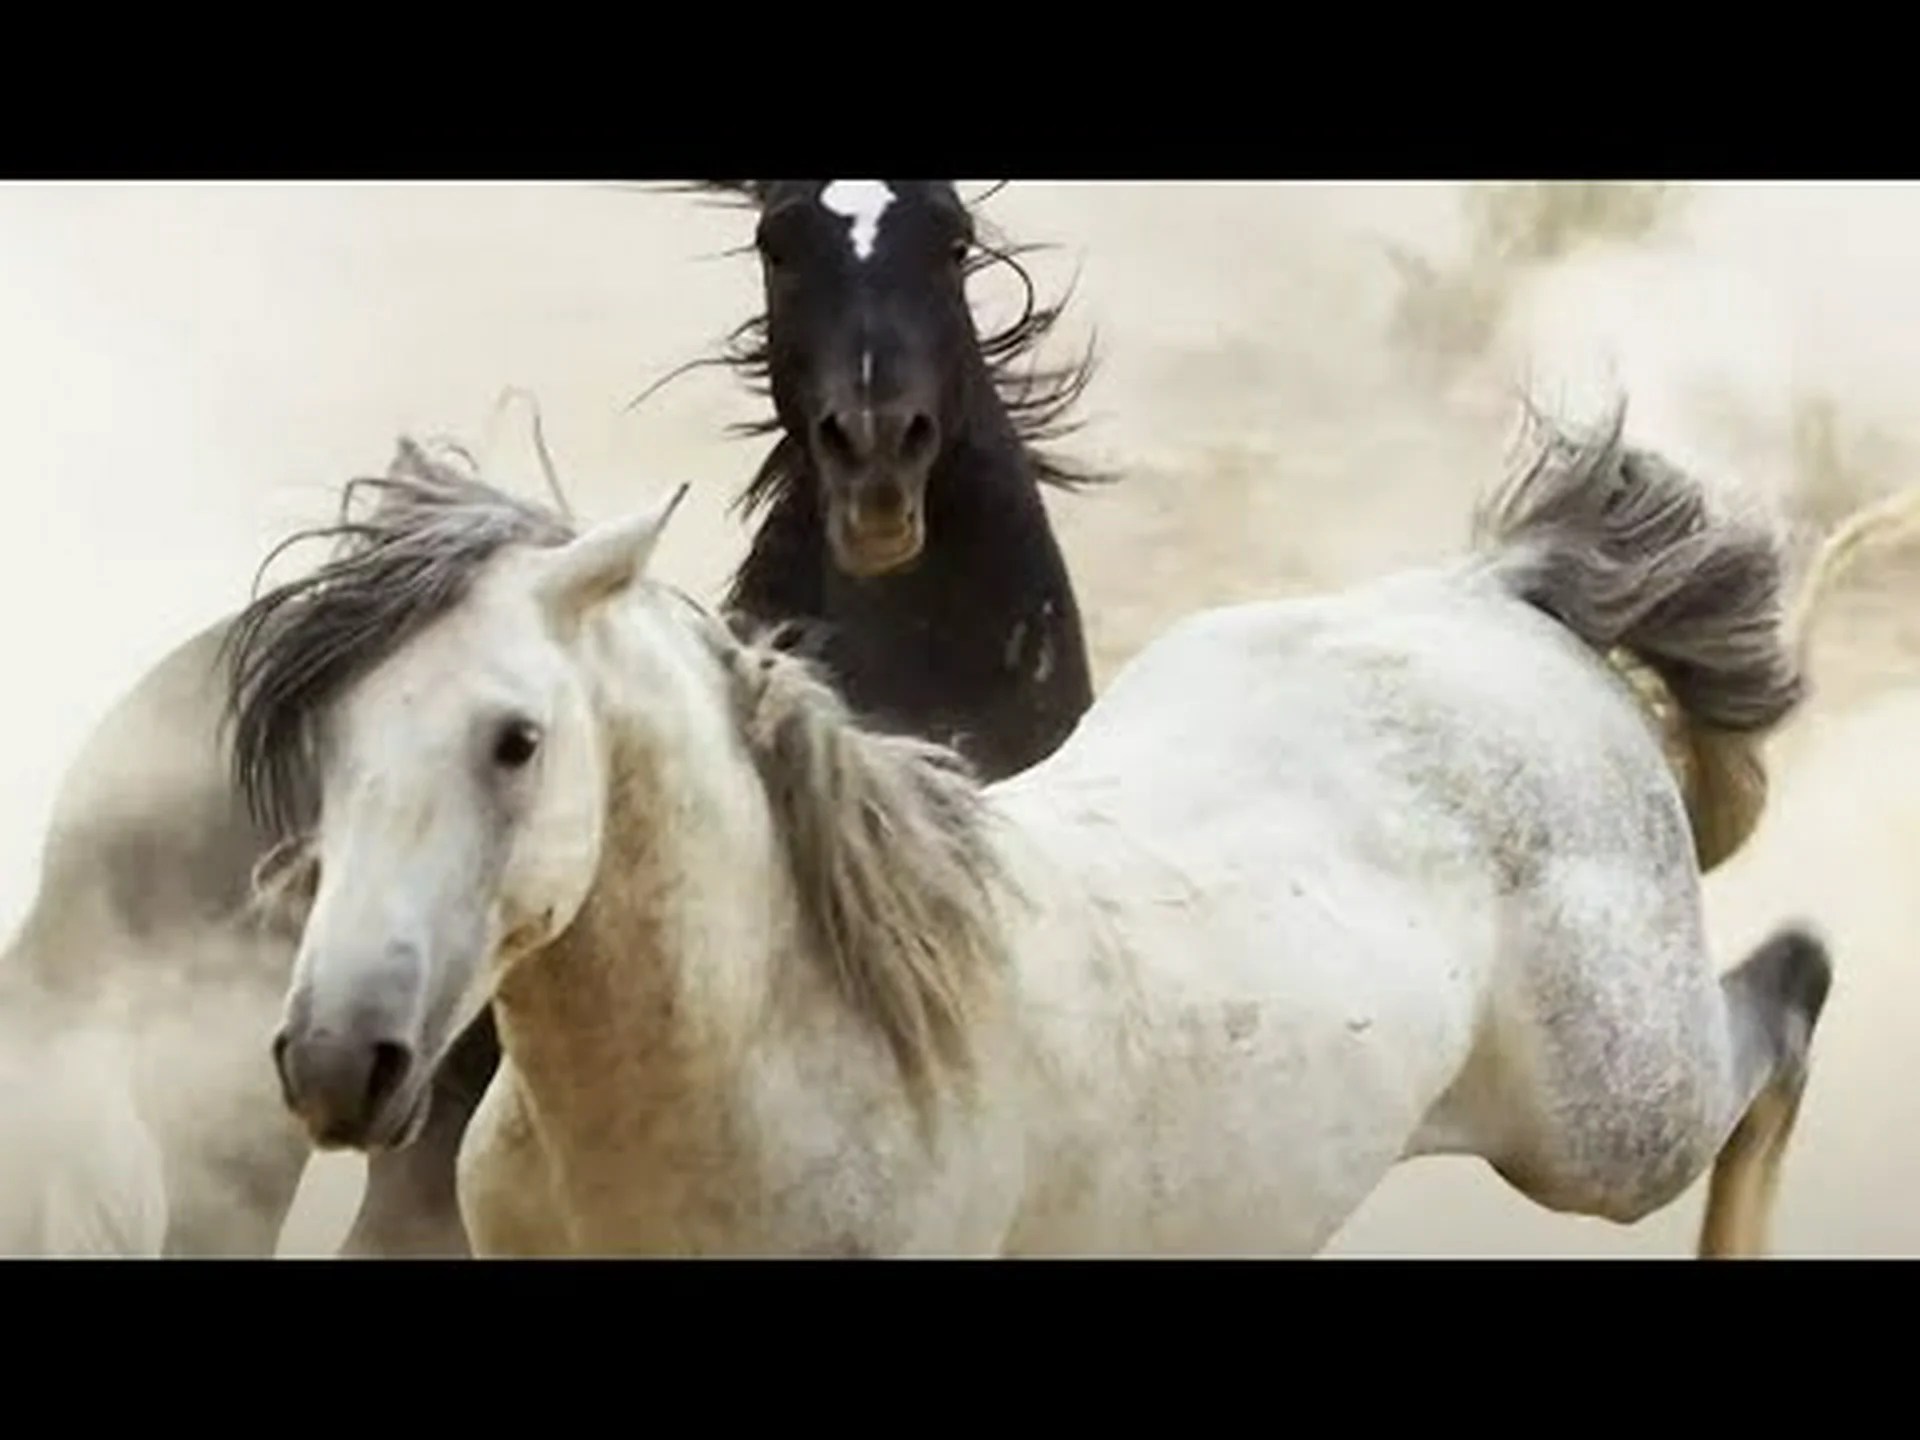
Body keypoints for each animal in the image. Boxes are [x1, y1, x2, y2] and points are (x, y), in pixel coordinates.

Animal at [248, 397, 1835, 1257]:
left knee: (1794, 991)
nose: (336, 1062)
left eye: (515, 739)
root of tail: (1495, 593)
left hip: (1612, 1132)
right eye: (325, 744)